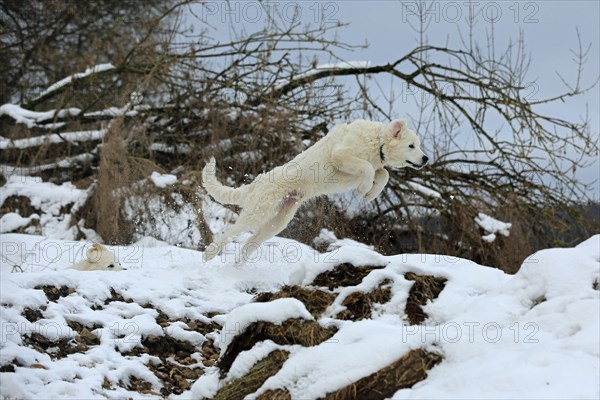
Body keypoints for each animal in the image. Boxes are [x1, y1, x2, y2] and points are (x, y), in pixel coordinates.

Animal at [204, 119, 428, 262]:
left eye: (418, 145)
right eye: (411, 145)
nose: (426, 159)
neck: (377, 141)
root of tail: (257, 182)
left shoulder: (374, 165)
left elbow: (383, 173)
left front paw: (370, 194)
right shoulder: (340, 156)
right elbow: (367, 168)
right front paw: (364, 189)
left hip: (278, 222)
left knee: (250, 242)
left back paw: (236, 268)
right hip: (258, 213)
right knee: (230, 232)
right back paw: (209, 255)